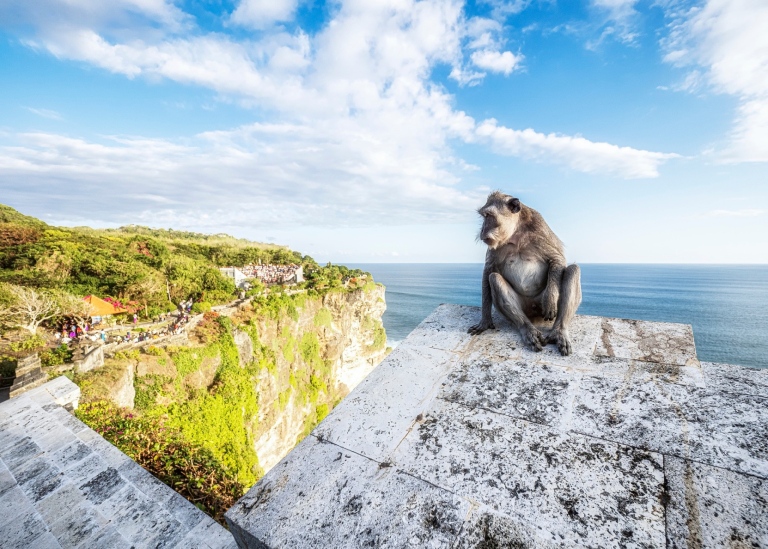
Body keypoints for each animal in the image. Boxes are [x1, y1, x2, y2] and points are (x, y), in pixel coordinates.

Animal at [468, 192, 584, 356]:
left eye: (489, 216)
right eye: (484, 216)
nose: (482, 230)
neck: (516, 234)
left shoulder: (540, 231)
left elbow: (557, 259)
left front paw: (550, 299)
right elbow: (488, 271)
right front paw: (484, 321)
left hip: (540, 304)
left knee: (573, 270)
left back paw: (559, 332)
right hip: (525, 307)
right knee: (494, 278)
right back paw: (527, 329)